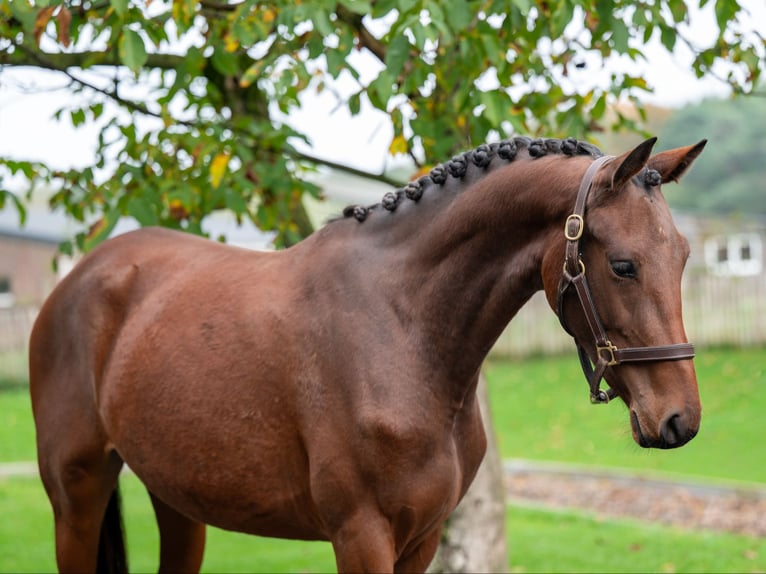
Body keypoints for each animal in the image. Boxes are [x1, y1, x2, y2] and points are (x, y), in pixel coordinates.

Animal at [29, 135, 705, 573]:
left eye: (684, 258)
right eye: (623, 265)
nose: (681, 420)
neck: (402, 328)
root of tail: (79, 277)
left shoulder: (423, 539)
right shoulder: (361, 535)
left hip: (177, 499)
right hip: (75, 496)